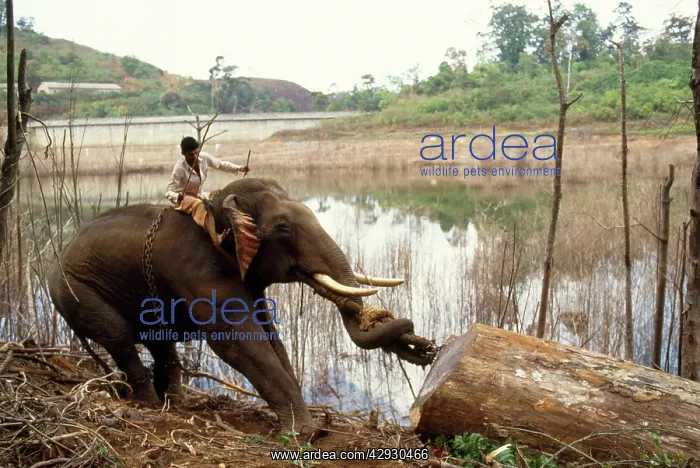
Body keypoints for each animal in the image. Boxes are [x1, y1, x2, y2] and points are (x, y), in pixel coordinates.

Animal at [47, 177, 420, 435]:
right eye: (284, 227)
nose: (418, 342)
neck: (216, 207)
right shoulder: (197, 272)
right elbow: (237, 340)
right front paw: (305, 432)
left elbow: (272, 339)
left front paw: (304, 425)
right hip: (75, 292)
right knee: (119, 337)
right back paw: (150, 403)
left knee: (161, 344)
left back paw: (175, 403)